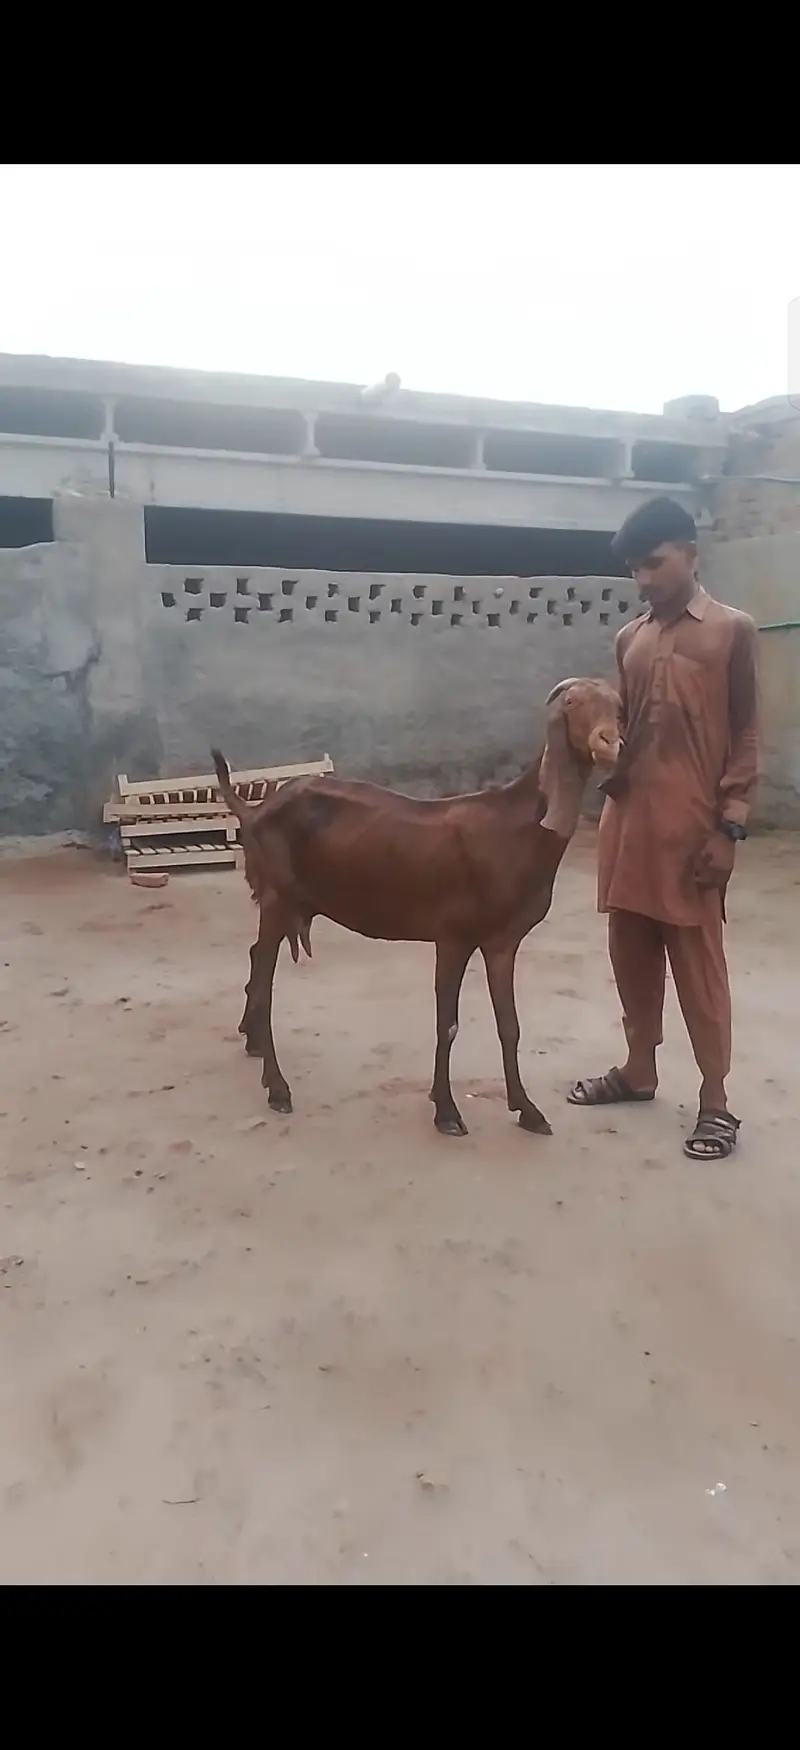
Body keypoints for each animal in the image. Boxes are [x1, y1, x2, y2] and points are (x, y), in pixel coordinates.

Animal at [212, 676, 621, 1138]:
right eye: (572, 703)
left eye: (618, 706)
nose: (610, 742)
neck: (514, 829)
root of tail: (254, 811)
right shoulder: (454, 935)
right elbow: (449, 1023)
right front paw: (446, 1110)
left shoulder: (502, 940)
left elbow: (510, 1026)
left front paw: (527, 1109)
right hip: (278, 897)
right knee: (265, 985)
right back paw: (277, 1086)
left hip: (288, 901)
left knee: (255, 957)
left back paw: (251, 1040)